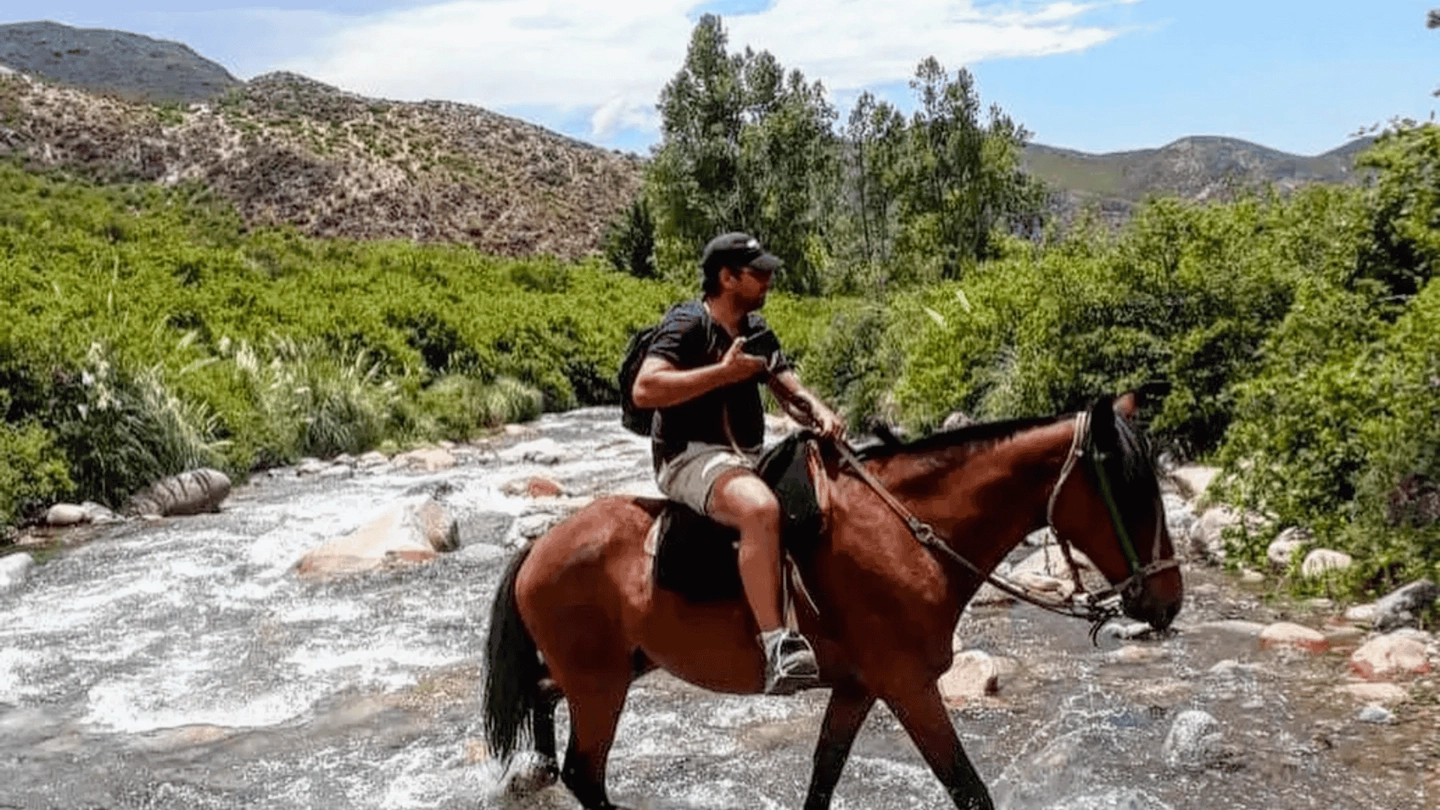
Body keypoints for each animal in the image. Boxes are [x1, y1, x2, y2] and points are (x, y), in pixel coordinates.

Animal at [483, 394, 1183, 810]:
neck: (908, 534)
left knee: (545, 702)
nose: (1168, 600)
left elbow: (823, 777)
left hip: (612, 670)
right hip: (602, 685)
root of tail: (540, 547)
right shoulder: (908, 686)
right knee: (585, 772)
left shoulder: (857, 688)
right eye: (1130, 488)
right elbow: (967, 788)